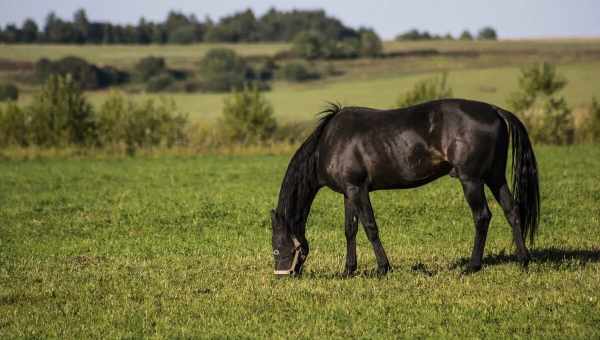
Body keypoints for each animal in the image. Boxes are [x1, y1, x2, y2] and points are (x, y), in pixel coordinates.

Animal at [272, 99, 540, 276]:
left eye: (275, 247)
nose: (284, 276)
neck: (328, 142)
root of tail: (495, 110)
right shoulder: (349, 192)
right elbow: (350, 230)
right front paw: (348, 270)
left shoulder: (358, 190)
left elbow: (370, 227)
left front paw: (383, 268)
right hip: (495, 177)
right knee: (512, 211)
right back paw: (523, 260)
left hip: (472, 180)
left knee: (482, 217)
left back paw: (473, 266)